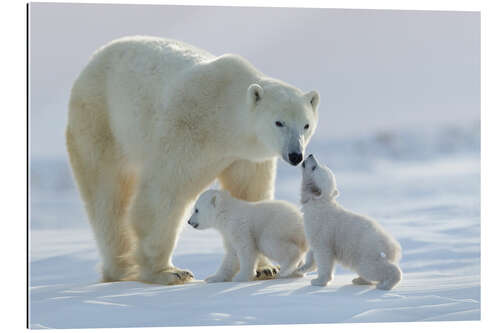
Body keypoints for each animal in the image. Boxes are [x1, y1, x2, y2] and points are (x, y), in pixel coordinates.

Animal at [66, 37, 320, 286]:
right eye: (279, 122)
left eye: (306, 125)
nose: (296, 155)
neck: (225, 119)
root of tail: (94, 59)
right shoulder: (188, 129)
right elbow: (164, 193)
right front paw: (168, 272)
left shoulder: (245, 157)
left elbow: (250, 193)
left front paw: (266, 268)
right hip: (101, 121)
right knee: (107, 196)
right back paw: (122, 269)